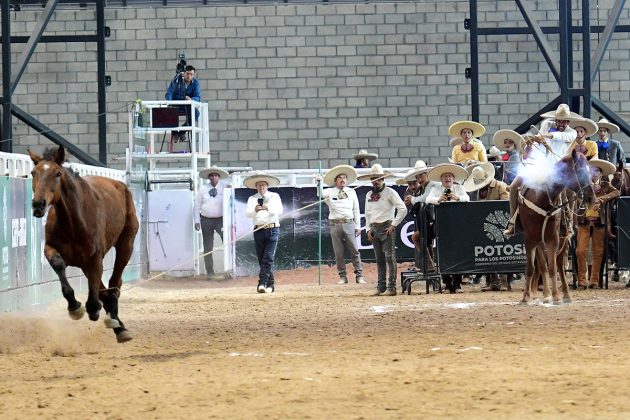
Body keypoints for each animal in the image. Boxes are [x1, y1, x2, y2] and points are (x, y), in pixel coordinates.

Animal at [29, 146, 139, 342]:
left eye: (57, 173)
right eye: (33, 173)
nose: (38, 204)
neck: (73, 221)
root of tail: (122, 186)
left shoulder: (95, 257)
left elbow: (96, 291)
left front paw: (93, 308)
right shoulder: (52, 248)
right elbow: (58, 264)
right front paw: (74, 307)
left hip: (126, 244)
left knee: (114, 281)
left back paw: (118, 324)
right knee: (104, 287)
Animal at [520, 151, 596, 306]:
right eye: (580, 171)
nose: (591, 198)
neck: (542, 196)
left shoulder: (553, 238)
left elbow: (553, 268)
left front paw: (556, 296)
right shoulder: (530, 239)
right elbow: (531, 268)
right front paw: (526, 297)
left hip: (563, 239)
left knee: (559, 265)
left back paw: (565, 295)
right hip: (540, 242)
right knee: (542, 266)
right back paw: (545, 295)